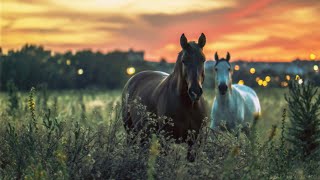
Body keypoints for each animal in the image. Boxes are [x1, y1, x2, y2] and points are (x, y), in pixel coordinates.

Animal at [121, 33, 209, 161]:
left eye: (203, 59)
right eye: (184, 61)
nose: (195, 91)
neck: (188, 104)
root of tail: (132, 79)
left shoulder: (195, 141)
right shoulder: (166, 139)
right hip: (131, 131)